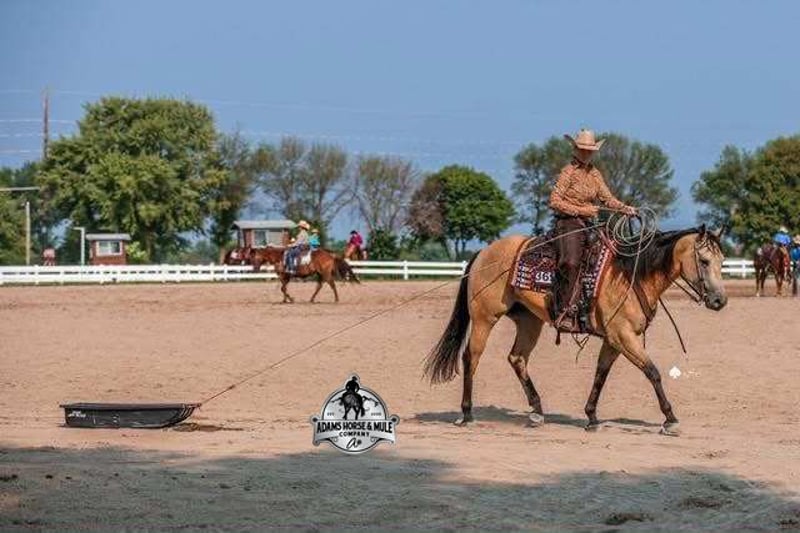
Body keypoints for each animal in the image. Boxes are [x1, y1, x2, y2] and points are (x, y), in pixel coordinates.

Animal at [423, 226, 727, 436]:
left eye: (722, 261)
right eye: (703, 260)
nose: (720, 301)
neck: (630, 275)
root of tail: (484, 252)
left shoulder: (614, 340)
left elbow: (601, 374)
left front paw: (591, 417)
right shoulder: (623, 336)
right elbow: (652, 372)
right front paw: (670, 419)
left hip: (529, 322)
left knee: (517, 358)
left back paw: (537, 411)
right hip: (484, 318)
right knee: (471, 358)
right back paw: (467, 413)